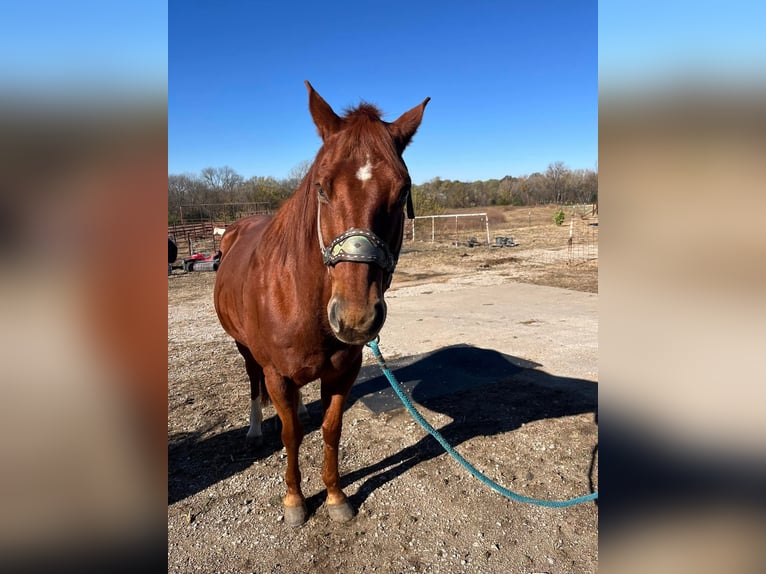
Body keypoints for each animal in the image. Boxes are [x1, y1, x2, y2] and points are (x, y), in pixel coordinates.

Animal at [216, 83, 428, 528]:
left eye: (402, 190)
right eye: (322, 188)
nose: (355, 317)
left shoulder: (343, 373)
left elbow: (332, 431)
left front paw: (335, 497)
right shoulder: (276, 373)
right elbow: (290, 433)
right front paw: (295, 500)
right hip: (245, 349)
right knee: (254, 383)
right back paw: (254, 429)